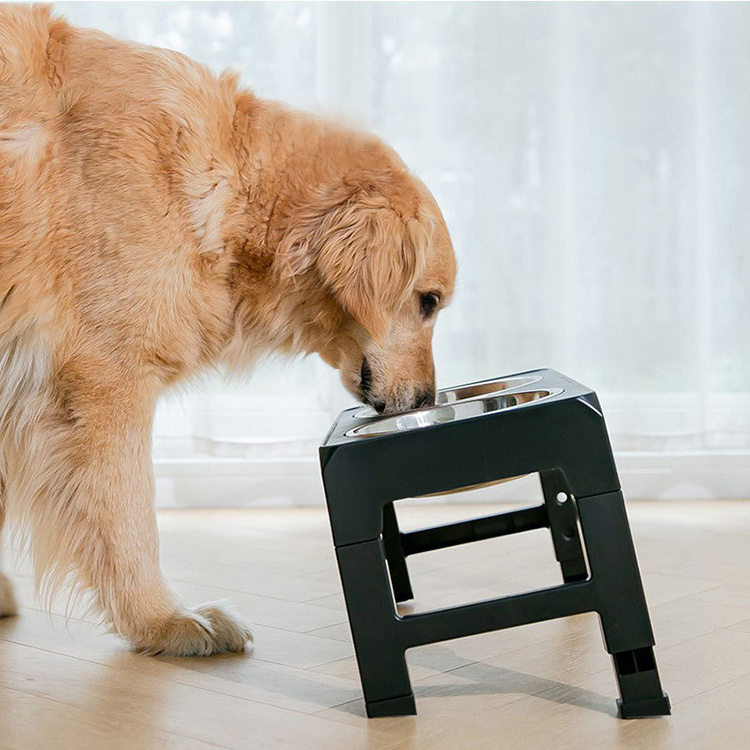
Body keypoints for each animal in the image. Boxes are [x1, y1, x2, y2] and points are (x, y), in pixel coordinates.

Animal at [0, 2, 458, 656]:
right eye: (428, 302)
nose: (422, 401)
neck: (234, 191)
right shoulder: (103, 380)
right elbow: (128, 516)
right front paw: (164, 621)